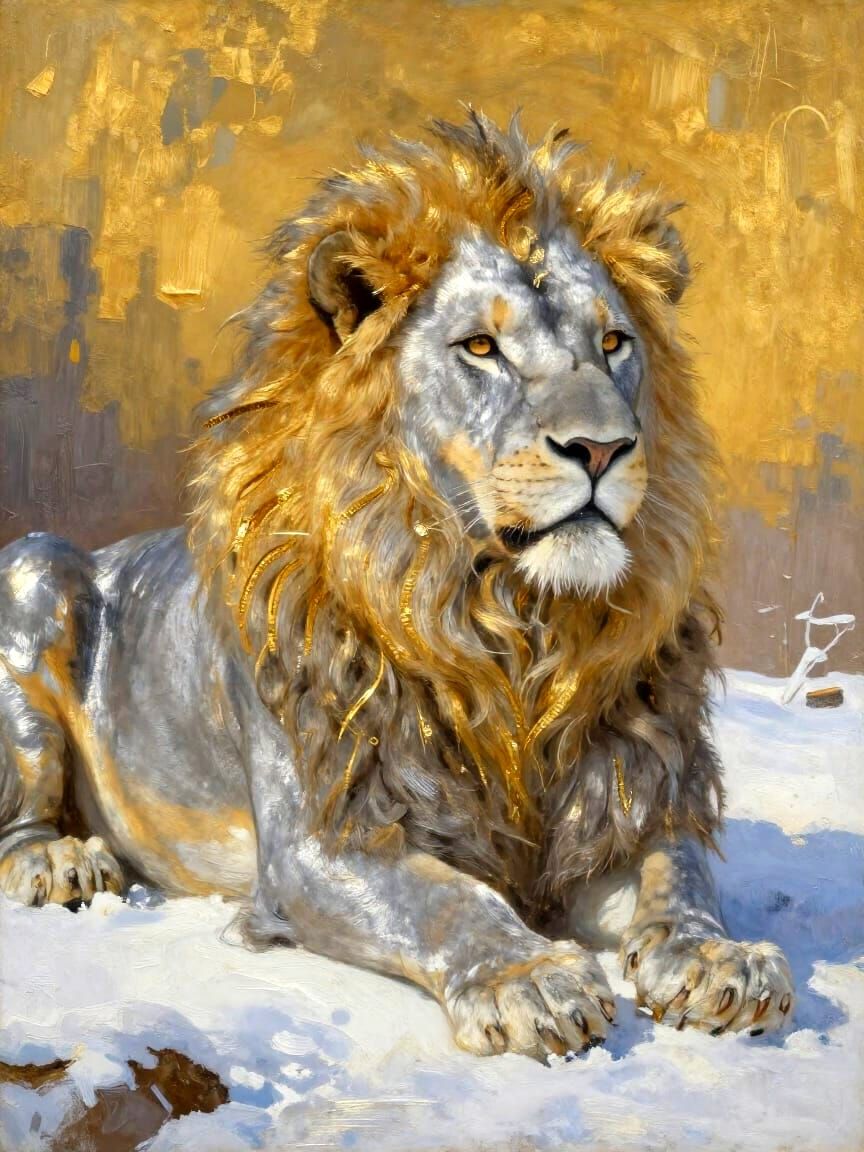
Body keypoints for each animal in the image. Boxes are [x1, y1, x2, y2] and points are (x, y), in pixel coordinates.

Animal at [0, 112, 793, 1060]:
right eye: (481, 348)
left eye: (613, 344)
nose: (603, 448)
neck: (512, 623)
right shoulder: (322, 841)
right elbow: (448, 898)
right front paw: (531, 978)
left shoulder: (614, 804)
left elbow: (680, 872)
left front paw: (719, 959)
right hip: (37, 568)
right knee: (18, 821)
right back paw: (63, 860)